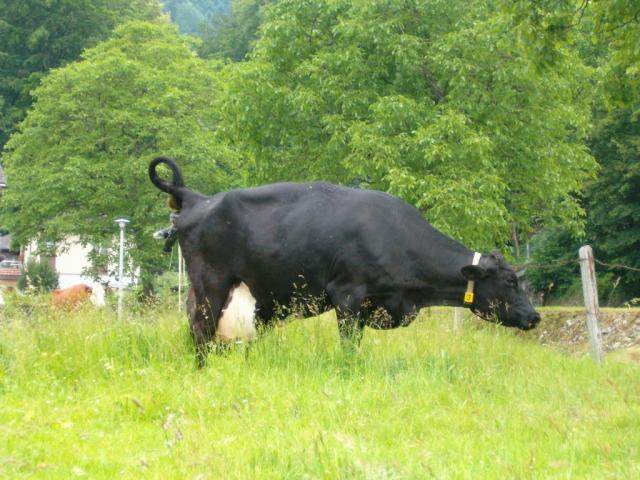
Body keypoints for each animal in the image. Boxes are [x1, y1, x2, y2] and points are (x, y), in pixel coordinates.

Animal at [150, 158, 540, 364]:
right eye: (510, 281)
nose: (535, 316)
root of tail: (197, 198)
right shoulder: (348, 295)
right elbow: (350, 347)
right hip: (211, 284)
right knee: (201, 331)